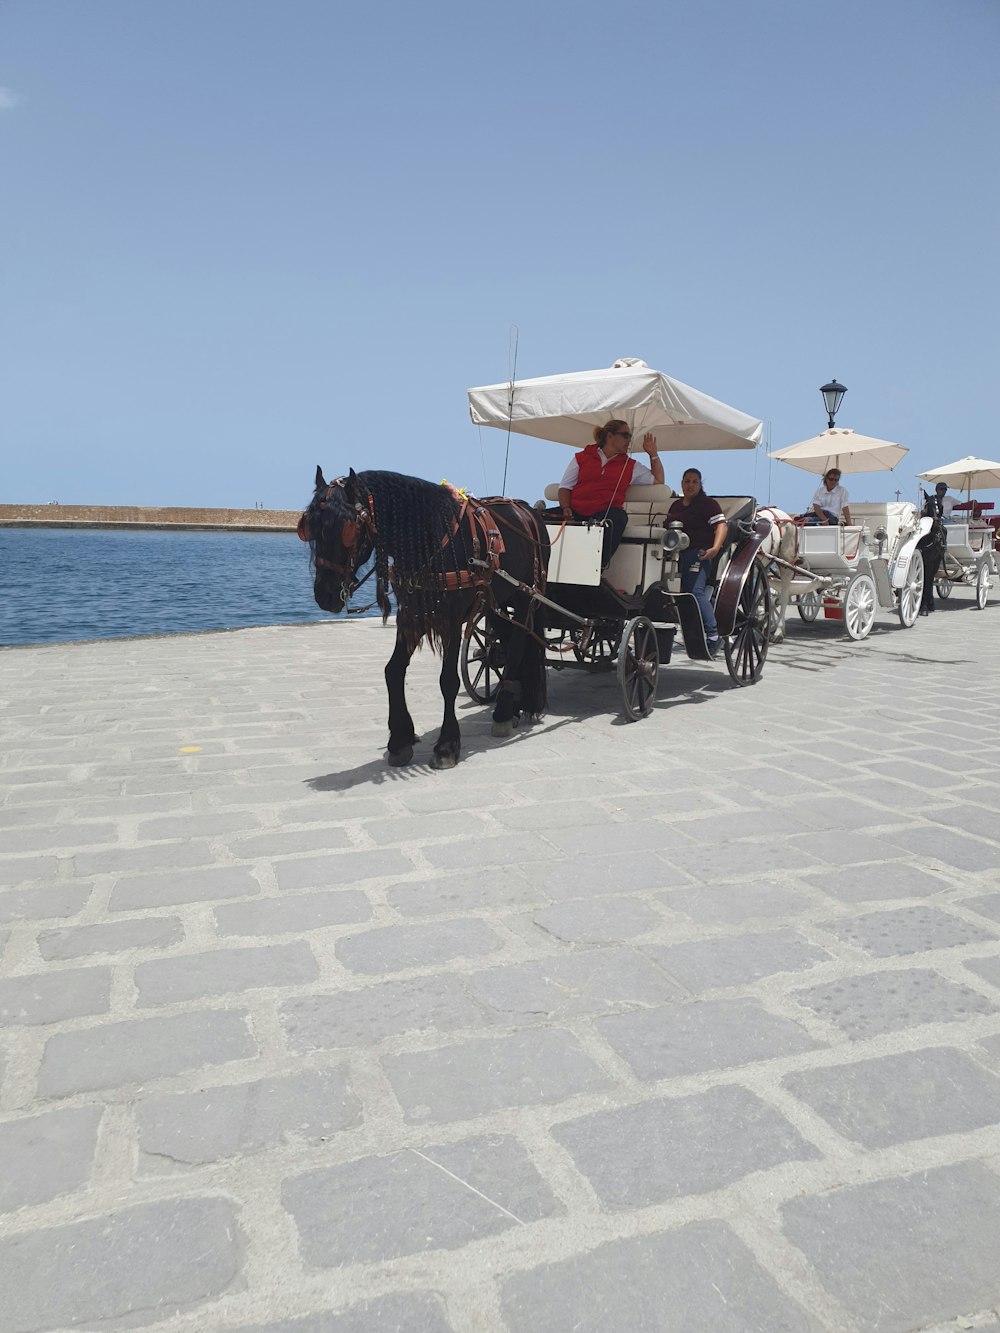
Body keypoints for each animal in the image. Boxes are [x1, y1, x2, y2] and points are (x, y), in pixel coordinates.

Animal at [300, 469, 549, 767]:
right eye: (310, 528)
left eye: (347, 528)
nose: (324, 595)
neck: (431, 538)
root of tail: (527, 510)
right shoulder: (411, 614)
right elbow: (393, 671)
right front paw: (400, 739)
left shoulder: (451, 619)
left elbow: (448, 681)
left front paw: (447, 744)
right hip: (496, 601)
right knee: (507, 641)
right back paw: (513, 705)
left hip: (525, 597)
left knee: (518, 647)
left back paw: (503, 712)